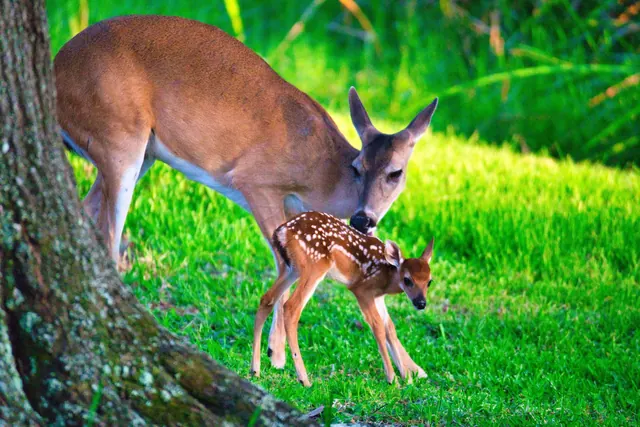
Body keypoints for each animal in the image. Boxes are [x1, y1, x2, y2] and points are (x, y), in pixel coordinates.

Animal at [251, 211, 434, 386]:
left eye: (429, 281)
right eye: (407, 280)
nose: (421, 303)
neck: (387, 276)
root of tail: (282, 231)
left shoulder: (378, 297)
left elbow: (390, 329)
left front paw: (407, 379)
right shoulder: (362, 289)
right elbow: (378, 327)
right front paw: (393, 379)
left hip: (291, 268)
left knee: (267, 299)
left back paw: (255, 370)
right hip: (315, 265)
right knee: (291, 307)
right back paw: (304, 380)